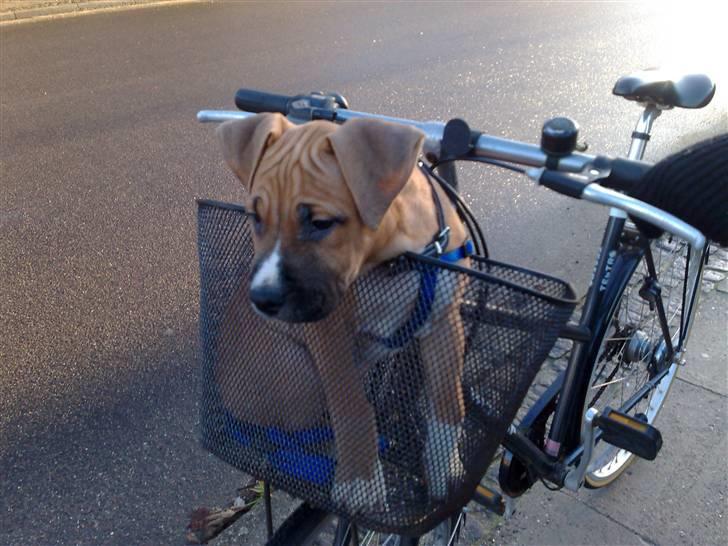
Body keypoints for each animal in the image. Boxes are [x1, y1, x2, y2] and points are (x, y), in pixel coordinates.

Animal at [213, 111, 470, 510]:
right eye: (255, 217)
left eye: (321, 223)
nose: (263, 300)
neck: (395, 259)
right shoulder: (330, 337)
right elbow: (351, 407)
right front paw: (360, 481)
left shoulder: (444, 321)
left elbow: (447, 401)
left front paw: (446, 468)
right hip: (296, 372)